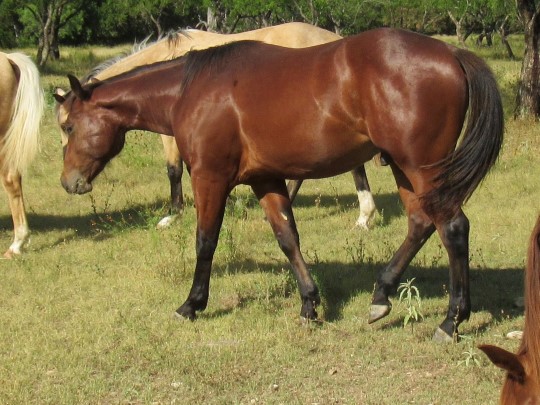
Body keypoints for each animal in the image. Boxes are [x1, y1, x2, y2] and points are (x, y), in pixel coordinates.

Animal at [54, 22, 376, 229]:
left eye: (67, 127)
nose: (70, 183)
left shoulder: (171, 136)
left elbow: (174, 171)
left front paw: (173, 215)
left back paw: (363, 216)